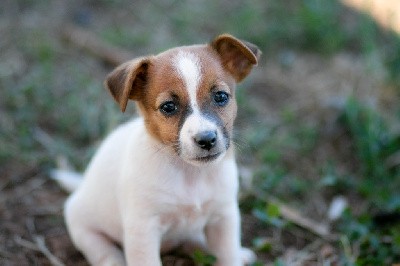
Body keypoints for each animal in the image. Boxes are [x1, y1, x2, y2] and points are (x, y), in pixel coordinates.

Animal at [55, 34, 260, 264]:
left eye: (221, 96)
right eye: (168, 107)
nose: (206, 139)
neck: (190, 174)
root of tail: (80, 187)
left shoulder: (224, 218)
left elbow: (228, 256)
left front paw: (235, 255)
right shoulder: (143, 230)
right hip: (85, 230)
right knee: (104, 252)